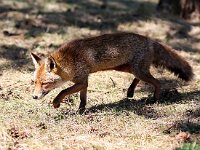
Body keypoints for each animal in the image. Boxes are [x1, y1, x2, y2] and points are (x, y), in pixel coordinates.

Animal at [31, 32, 194, 113]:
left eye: (44, 83)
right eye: (34, 82)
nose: (34, 96)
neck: (69, 60)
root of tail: (149, 40)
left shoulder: (82, 80)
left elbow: (63, 91)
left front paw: (56, 103)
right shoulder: (84, 82)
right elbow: (82, 99)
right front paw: (81, 111)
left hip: (136, 70)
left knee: (157, 82)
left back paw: (155, 99)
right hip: (127, 68)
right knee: (140, 78)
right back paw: (130, 91)